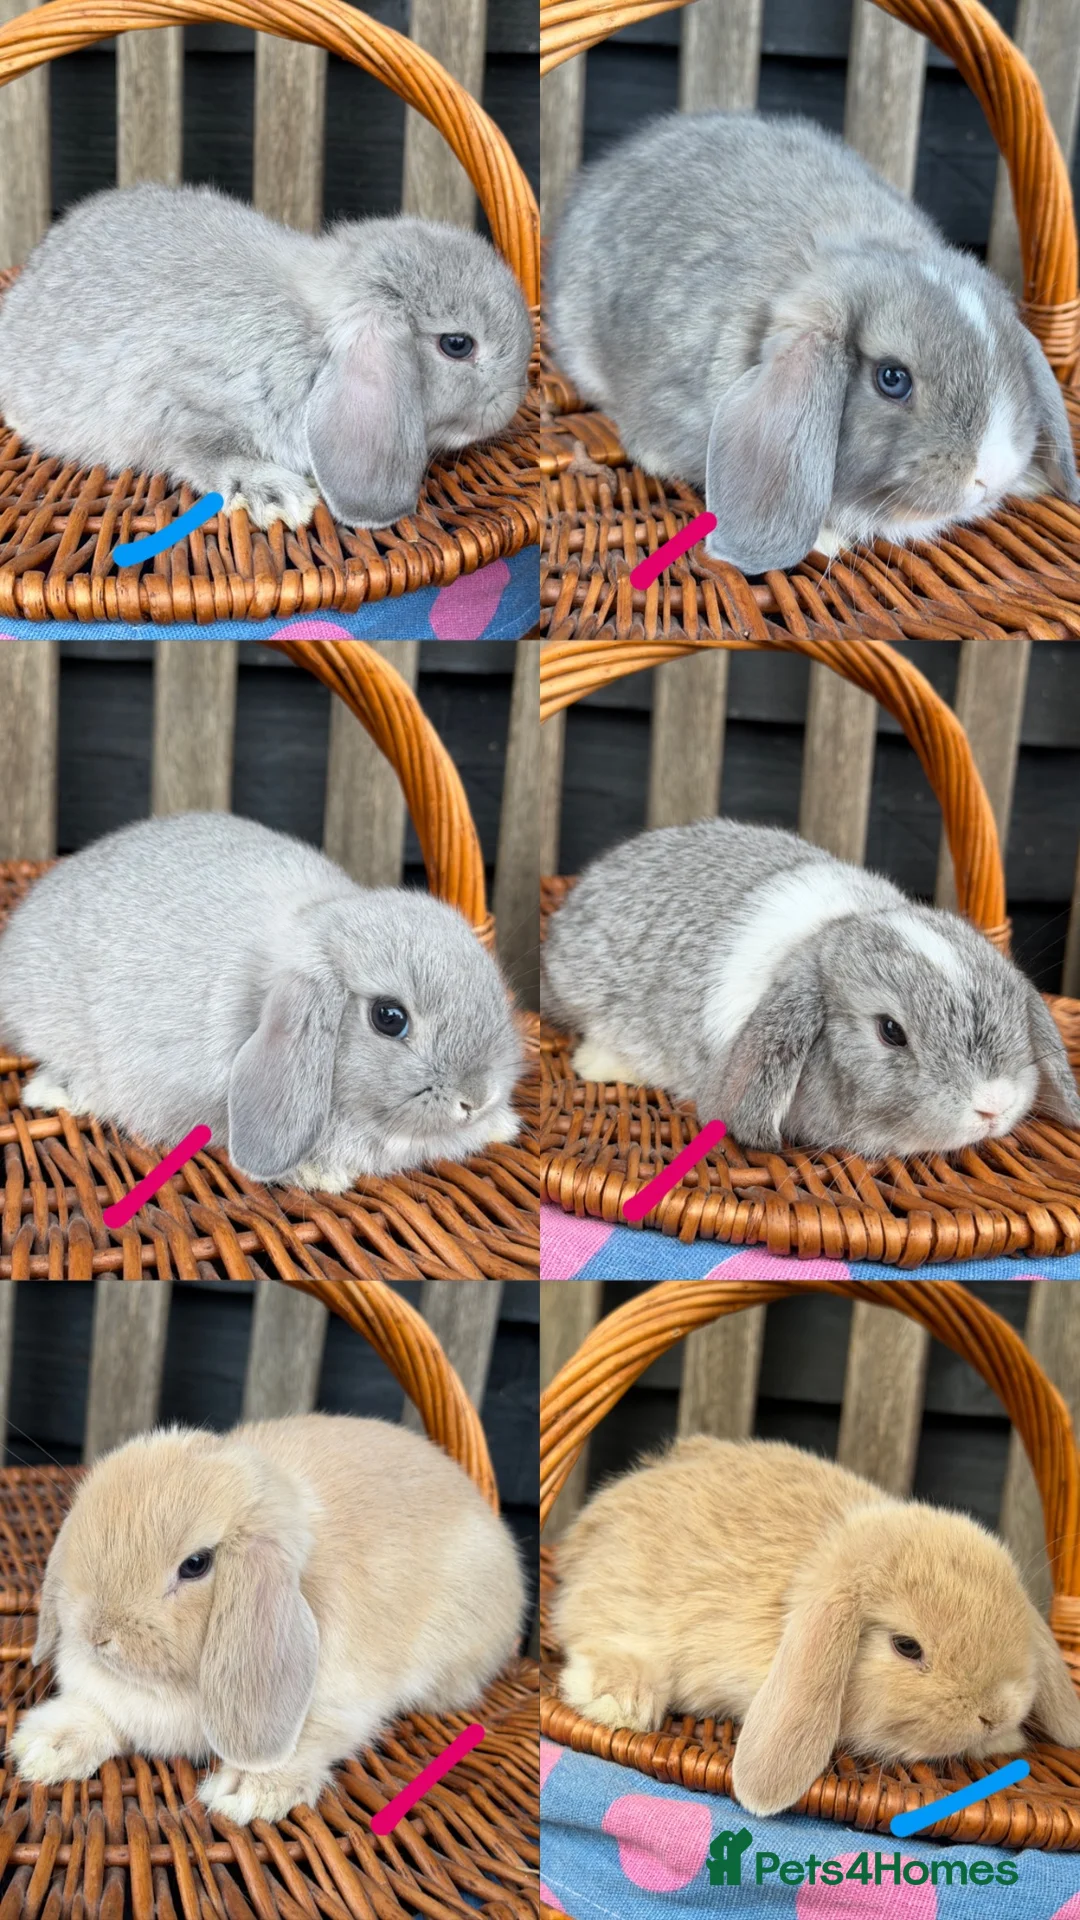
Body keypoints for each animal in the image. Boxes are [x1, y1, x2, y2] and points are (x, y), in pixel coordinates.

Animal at [0, 182, 533, 531]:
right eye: (457, 344)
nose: (510, 405)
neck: (312, 339)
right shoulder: (187, 401)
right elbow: (207, 451)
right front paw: (280, 497)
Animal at [9, 1413, 525, 1824]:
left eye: (196, 1564)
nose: (97, 1633)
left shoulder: (338, 1708)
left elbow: (305, 1743)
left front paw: (246, 1793)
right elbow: (98, 1712)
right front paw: (43, 1748)